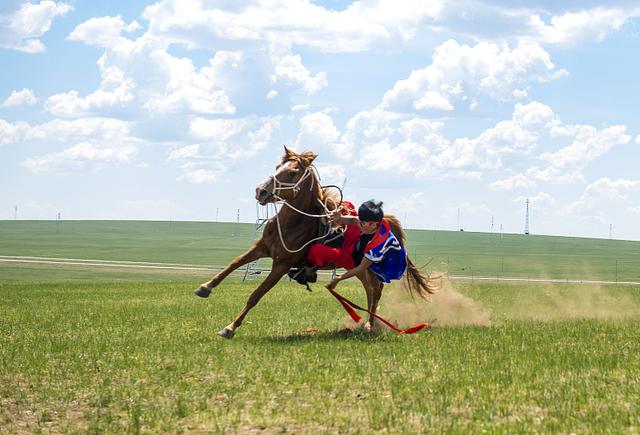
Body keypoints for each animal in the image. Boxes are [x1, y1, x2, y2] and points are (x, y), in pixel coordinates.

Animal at [192, 146, 438, 338]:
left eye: (292, 173)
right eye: (277, 167)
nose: (260, 191)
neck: (293, 224)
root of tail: (385, 221)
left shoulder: (282, 264)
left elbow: (256, 294)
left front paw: (229, 328)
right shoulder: (261, 248)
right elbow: (233, 263)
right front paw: (205, 287)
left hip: (368, 265)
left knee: (376, 290)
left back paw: (369, 324)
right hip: (358, 267)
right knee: (370, 289)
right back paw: (368, 323)